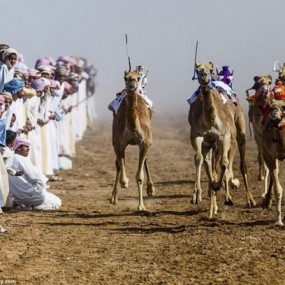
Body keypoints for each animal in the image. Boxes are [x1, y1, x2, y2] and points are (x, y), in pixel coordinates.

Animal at [110, 70, 154, 210]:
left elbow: (139, 177)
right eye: (125, 77)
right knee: (117, 165)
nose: (132, 83)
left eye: (138, 77)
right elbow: (122, 176)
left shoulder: (145, 143)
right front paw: (125, 183)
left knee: (146, 159)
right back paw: (113, 198)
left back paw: (151, 189)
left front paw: (141, 206)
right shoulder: (119, 144)